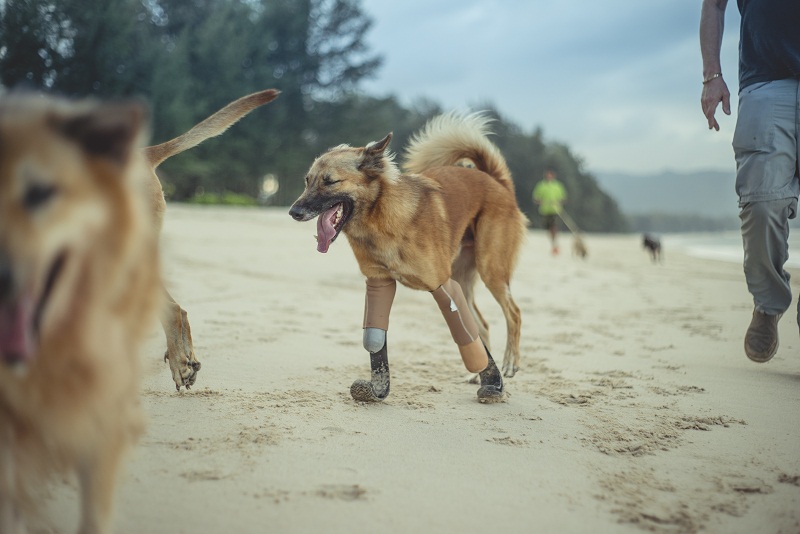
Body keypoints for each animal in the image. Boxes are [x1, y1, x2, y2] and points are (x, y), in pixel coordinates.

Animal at [290, 113, 528, 404]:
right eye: (307, 180)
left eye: (330, 181)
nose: (294, 212)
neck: (380, 217)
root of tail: (495, 181)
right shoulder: (379, 281)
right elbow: (375, 339)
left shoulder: (441, 284)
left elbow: (463, 331)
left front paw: (494, 383)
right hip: (463, 278)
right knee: (481, 324)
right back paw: (479, 375)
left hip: (490, 269)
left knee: (513, 313)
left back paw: (509, 364)